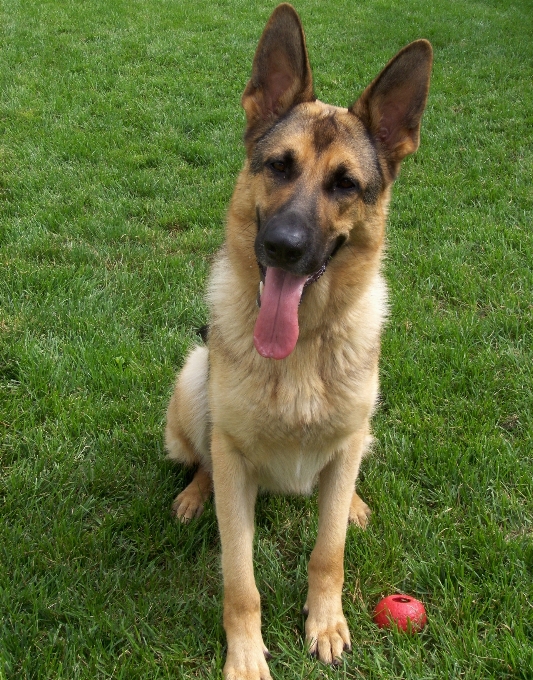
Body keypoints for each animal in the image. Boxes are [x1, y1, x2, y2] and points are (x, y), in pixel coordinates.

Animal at [166, 3, 432, 676]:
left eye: (345, 185)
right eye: (279, 166)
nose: (283, 246)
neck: (303, 347)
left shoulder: (341, 453)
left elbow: (327, 551)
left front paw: (326, 621)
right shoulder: (235, 465)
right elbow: (240, 578)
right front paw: (245, 654)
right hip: (194, 378)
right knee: (202, 455)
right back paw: (193, 493)